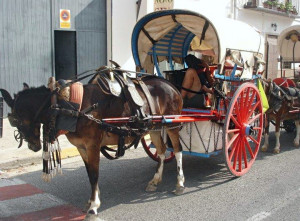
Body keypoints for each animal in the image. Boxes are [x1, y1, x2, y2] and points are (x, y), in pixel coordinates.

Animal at [0, 72, 184, 214]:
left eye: (15, 121)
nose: (33, 146)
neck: (68, 106)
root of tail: (170, 84)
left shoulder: (93, 145)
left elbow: (95, 174)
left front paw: (94, 205)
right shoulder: (81, 147)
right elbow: (89, 174)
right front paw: (91, 200)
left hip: (172, 125)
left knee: (177, 150)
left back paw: (180, 183)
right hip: (154, 126)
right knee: (161, 150)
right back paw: (155, 180)